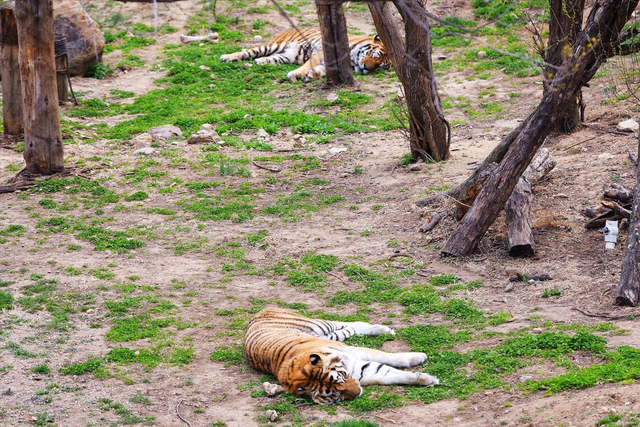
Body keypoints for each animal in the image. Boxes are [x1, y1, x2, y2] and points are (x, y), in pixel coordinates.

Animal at [220, 28, 390, 83]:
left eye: (380, 66)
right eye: (375, 55)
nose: (366, 68)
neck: (354, 61)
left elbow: (320, 70)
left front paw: (311, 75)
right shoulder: (322, 54)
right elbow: (308, 64)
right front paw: (297, 74)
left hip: (285, 56)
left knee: (267, 58)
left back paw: (259, 62)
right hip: (274, 45)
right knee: (249, 51)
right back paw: (226, 57)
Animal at [242, 308, 438, 404]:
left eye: (340, 378)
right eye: (334, 394)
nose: (358, 392)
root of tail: (260, 312)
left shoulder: (355, 353)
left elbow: (387, 357)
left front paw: (419, 358)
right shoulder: (361, 370)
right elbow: (388, 374)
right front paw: (427, 379)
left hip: (320, 325)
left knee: (350, 323)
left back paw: (384, 329)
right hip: (329, 334)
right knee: (349, 329)